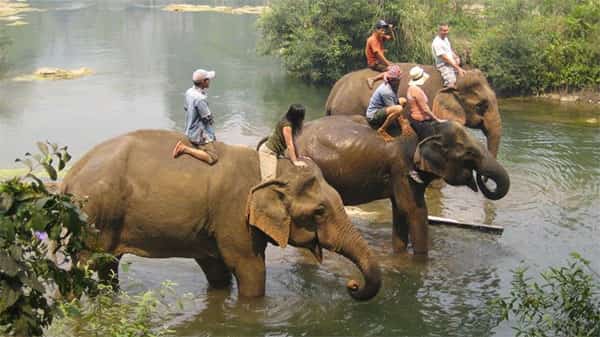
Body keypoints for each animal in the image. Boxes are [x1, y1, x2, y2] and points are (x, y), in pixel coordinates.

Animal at [59, 129, 380, 300]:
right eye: (320, 211)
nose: (352, 285)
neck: (269, 168)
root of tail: (68, 178)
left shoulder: (212, 225)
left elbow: (217, 271)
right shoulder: (235, 214)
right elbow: (250, 270)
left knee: (107, 266)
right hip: (91, 216)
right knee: (84, 267)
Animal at [292, 117, 508, 253]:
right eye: (470, 153)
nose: (482, 178)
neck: (427, 129)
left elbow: (400, 211)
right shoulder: (402, 168)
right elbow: (414, 210)